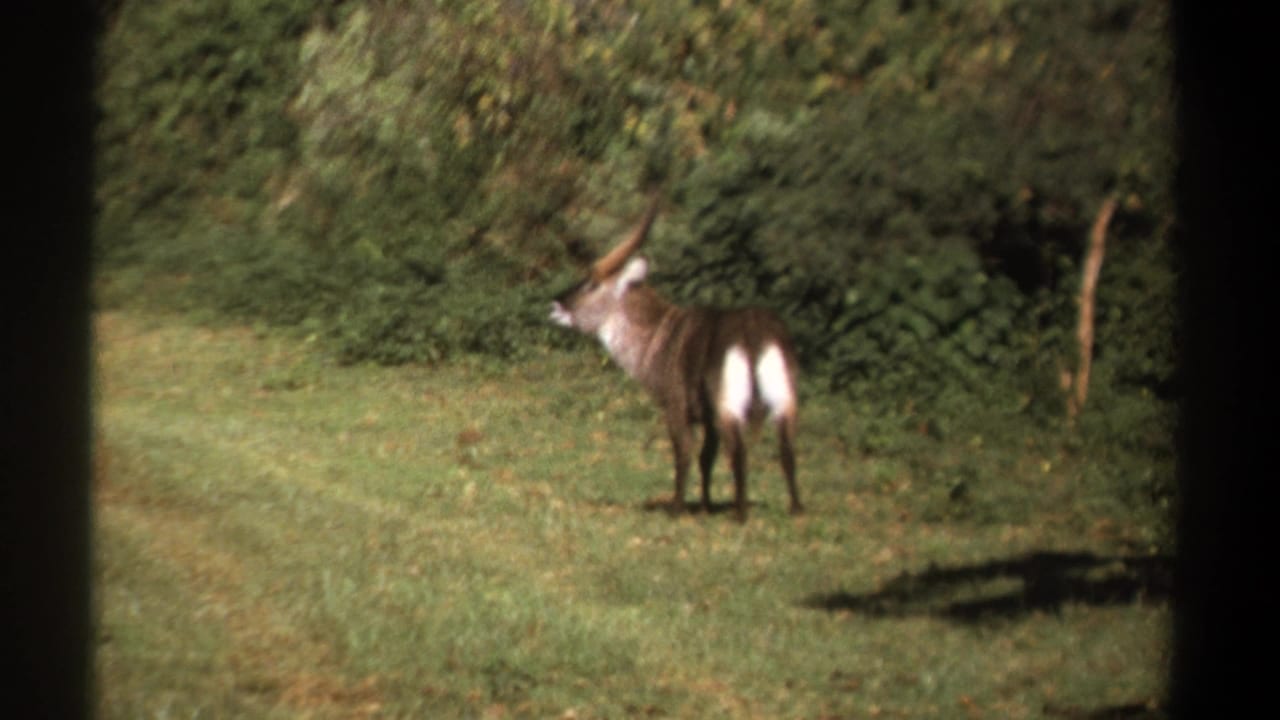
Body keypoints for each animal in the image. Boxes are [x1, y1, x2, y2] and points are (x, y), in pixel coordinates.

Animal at [550, 198, 802, 522]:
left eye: (592, 283)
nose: (556, 304)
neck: (660, 334)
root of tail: (753, 331)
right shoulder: (706, 416)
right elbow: (707, 456)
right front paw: (705, 506)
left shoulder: (675, 405)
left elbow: (683, 451)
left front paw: (677, 508)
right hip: (783, 400)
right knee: (787, 448)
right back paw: (795, 509)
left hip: (729, 406)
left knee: (739, 451)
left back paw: (739, 514)